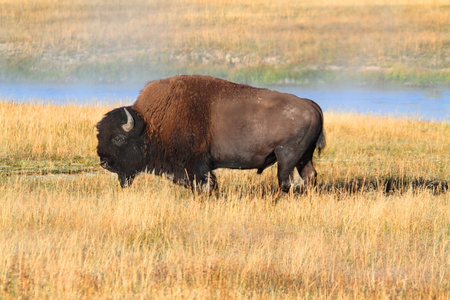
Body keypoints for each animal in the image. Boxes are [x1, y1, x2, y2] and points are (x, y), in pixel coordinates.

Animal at [96, 74, 326, 192]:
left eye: (118, 138)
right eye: (99, 136)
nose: (104, 162)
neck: (150, 125)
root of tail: (310, 104)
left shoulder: (196, 165)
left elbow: (204, 185)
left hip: (286, 156)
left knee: (285, 181)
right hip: (303, 157)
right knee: (309, 176)